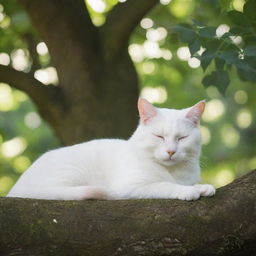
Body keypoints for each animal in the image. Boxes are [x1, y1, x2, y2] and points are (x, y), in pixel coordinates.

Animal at [7, 98, 215, 200]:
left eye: (182, 138)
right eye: (159, 136)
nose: (171, 151)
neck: (172, 172)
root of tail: (15, 190)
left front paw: (201, 187)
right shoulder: (130, 186)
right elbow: (163, 185)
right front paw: (187, 191)